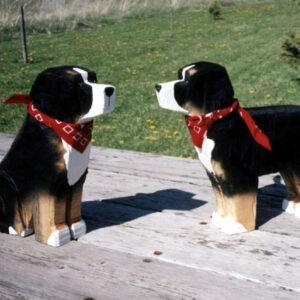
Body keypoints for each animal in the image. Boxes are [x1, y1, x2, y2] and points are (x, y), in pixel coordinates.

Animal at [0, 66, 115, 246]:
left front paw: (76, 227)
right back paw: (17, 229)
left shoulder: (76, 180)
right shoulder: (50, 183)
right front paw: (57, 234)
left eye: (93, 80)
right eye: (77, 86)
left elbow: (73, 206)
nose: (110, 89)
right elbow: (54, 211)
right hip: (7, 182)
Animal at [156, 61, 300, 234]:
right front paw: (221, 218)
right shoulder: (214, 173)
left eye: (188, 81)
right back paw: (294, 204)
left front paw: (237, 225)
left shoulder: (239, 174)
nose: (157, 86)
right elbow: (222, 197)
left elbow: (239, 201)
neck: (212, 122)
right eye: (179, 76)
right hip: (288, 165)